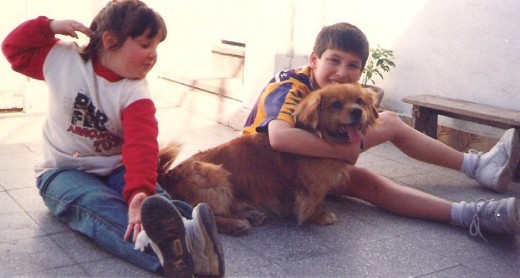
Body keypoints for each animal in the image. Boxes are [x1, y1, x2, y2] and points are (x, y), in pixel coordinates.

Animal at [156, 83, 380, 236]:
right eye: (336, 105)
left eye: (360, 101)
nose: (357, 111)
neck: (319, 136)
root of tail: (168, 175)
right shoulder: (311, 188)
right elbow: (312, 205)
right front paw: (320, 216)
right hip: (215, 175)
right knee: (198, 214)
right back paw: (236, 225)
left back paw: (251, 215)